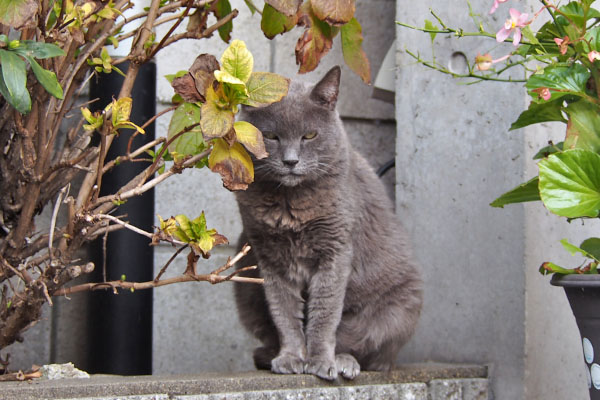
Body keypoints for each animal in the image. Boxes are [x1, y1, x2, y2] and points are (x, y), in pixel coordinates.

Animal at [234, 66, 422, 382]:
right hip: (244, 288)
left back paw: (345, 362)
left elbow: (324, 312)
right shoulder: (268, 255)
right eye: (271, 136)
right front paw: (291, 357)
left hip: (401, 307)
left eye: (309, 135)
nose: (290, 161)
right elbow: (284, 312)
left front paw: (320, 362)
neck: (289, 203)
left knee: (369, 351)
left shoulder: (335, 250)